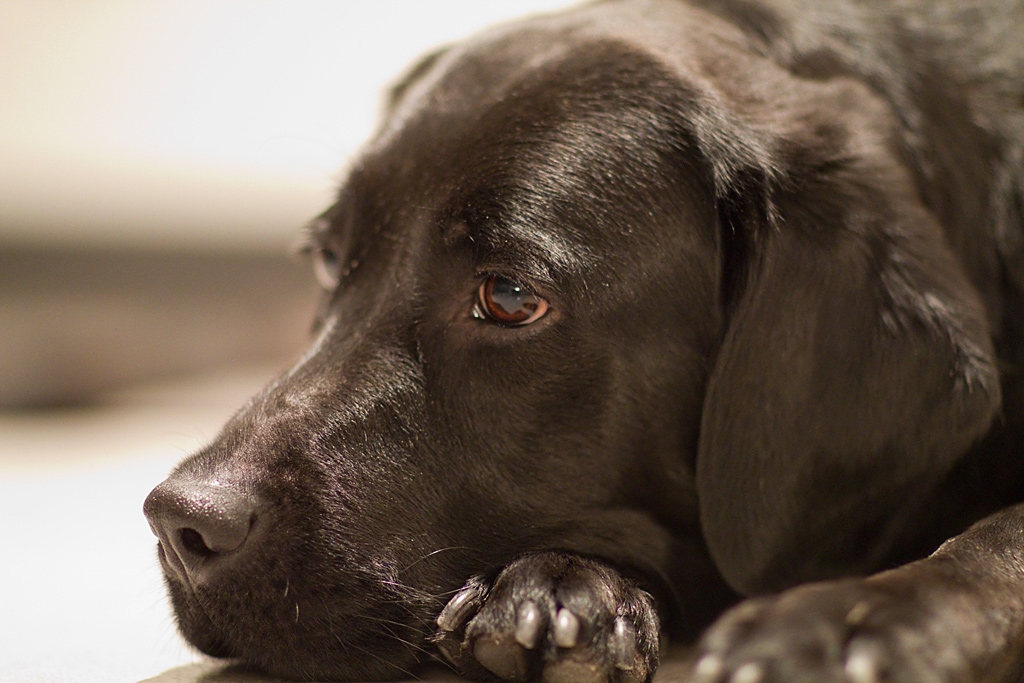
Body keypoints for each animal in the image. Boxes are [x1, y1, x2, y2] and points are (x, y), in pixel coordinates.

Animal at [142, 0, 1024, 679]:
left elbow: (999, 540)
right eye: (329, 255)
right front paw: (564, 589)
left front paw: (855, 616)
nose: (180, 524)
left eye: (508, 297)